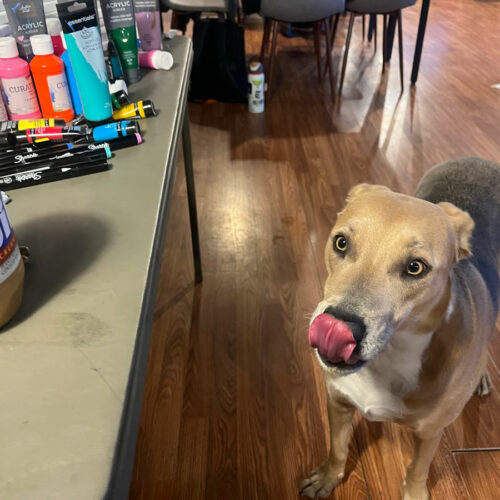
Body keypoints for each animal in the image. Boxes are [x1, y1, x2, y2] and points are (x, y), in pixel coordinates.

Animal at [300, 158, 500, 498]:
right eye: (341, 242)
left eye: (415, 267)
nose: (338, 326)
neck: (391, 356)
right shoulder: (338, 402)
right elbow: (337, 449)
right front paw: (327, 477)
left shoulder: (430, 433)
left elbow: (417, 471)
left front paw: (414, 493)